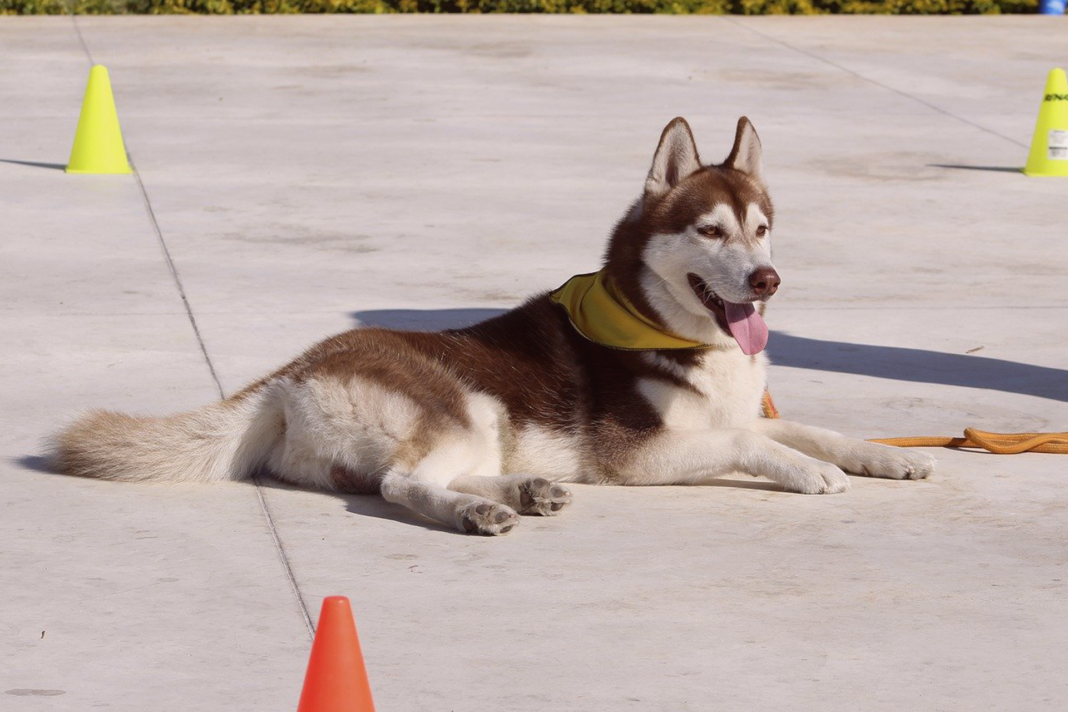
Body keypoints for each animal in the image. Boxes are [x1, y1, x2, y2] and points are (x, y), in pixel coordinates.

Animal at [50, 118, 935, 533]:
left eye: (762, 229)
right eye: (710, 232)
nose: (766, 280)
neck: (670, 332)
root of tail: (288, 374)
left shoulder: (734, 409)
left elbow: (808, 427)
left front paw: (885, 457)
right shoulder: (637, 455)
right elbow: (757, 441)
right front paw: (808, 472)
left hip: (481, 426)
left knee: (414, 475)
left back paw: (524, 489)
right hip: (464, 404)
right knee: (402, 483)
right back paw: (478, 513)